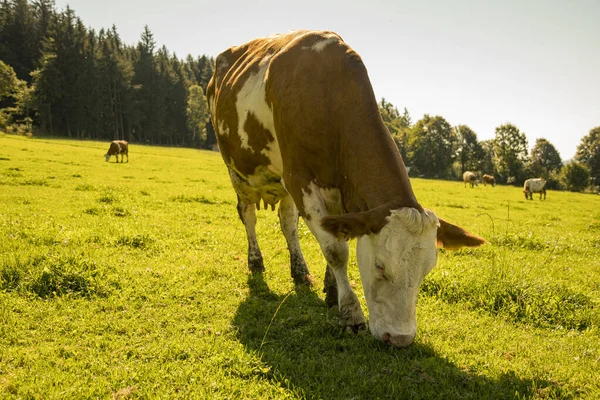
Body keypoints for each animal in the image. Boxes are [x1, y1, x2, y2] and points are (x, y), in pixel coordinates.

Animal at [206, 29, 488, 346]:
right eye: (380, 266)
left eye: (426, 270)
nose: (400, 338)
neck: (328, 96)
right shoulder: (300, 180)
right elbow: (336, 251)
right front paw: (351, 313)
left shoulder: (339, 194)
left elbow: (335, 235)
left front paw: (331, 290)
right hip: (236, 171)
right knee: (249, 215)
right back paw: (255, 261)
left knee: (288, 223)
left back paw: (300, 271)